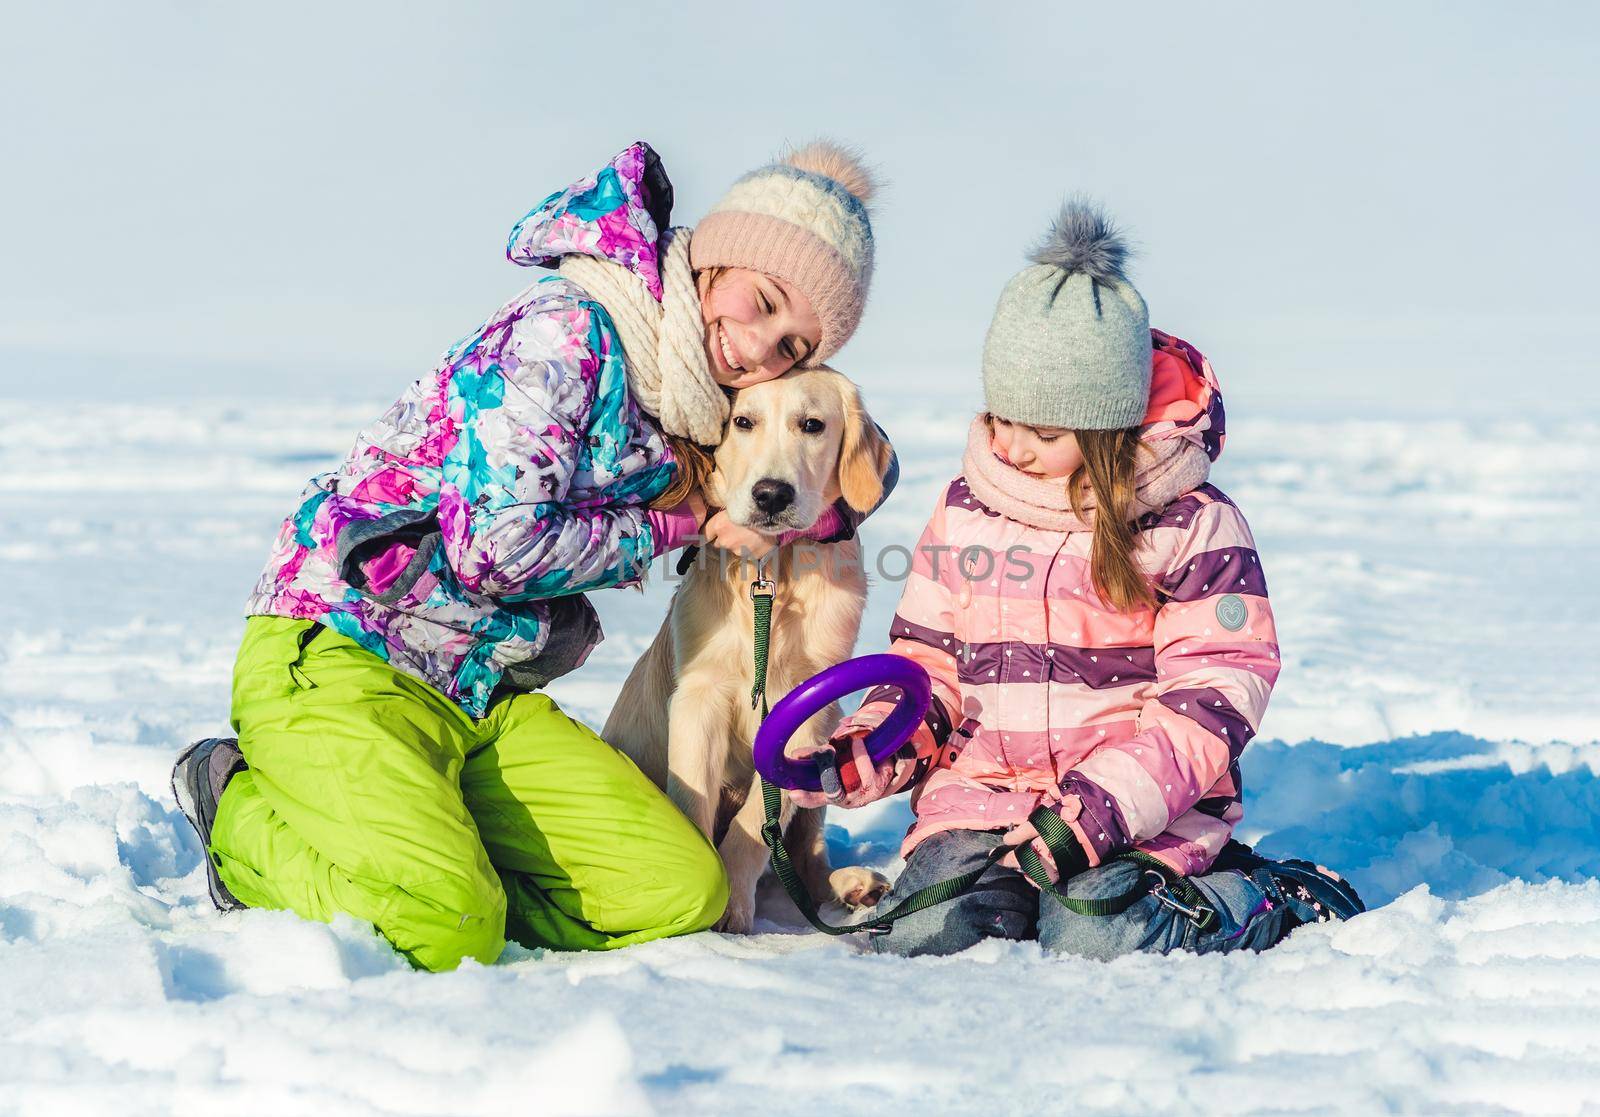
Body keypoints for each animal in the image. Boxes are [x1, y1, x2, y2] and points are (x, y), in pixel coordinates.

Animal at [601, 368, 896, 928]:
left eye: (812, 424)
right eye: (742, 422)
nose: (771, 495)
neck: (771, 575)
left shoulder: (809, 712)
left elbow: (758, 823)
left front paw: (733, 906)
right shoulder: (699, 697)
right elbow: (693, 800)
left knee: (806, 862)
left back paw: (853, 885)